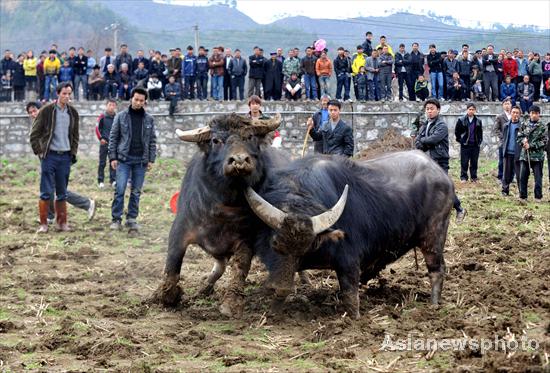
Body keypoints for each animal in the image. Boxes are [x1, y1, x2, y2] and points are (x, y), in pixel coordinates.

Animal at [153, 113, 286, 316]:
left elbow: (240, 267)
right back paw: (204, 289)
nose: (239, 160)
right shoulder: (180, 230)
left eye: (250, 137)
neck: (224, 207)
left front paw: (231, 303)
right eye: (215, 140)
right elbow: (172, 264)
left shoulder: (247, 238)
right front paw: (168, 296)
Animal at [248, 150, 454, 316]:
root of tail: (441, 175)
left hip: (434, 237)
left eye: (306, 248)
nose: (280, 288)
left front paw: (354, 319)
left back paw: (434, 305)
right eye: (275, 243)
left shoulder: (348, 261)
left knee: (437, 270)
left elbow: (350, 296)